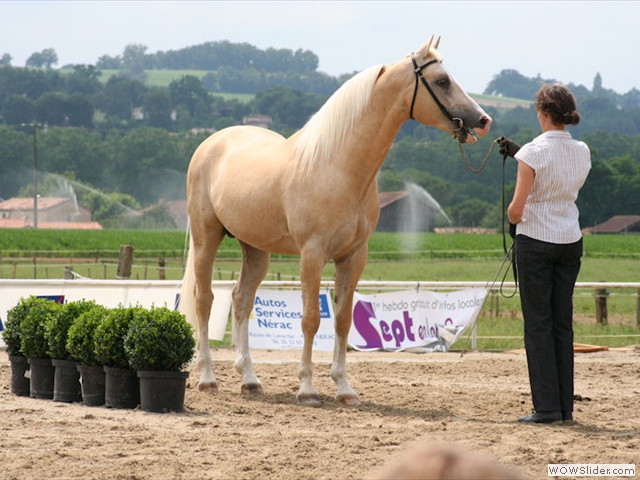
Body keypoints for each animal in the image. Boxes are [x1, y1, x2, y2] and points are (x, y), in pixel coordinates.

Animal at [180, 35, 490, 406]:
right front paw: (307, 389)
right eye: (442, 80)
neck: (339, 167)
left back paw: (250, 380)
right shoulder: (312, 255)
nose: (483, 120)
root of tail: (212, 142)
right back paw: (207, 379)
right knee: (204, 300)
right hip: (206, 238)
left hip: (255, 248)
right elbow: (311, 319)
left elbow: (342, 321)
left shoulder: (354, 256)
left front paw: (344, 388)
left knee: (241, 300)